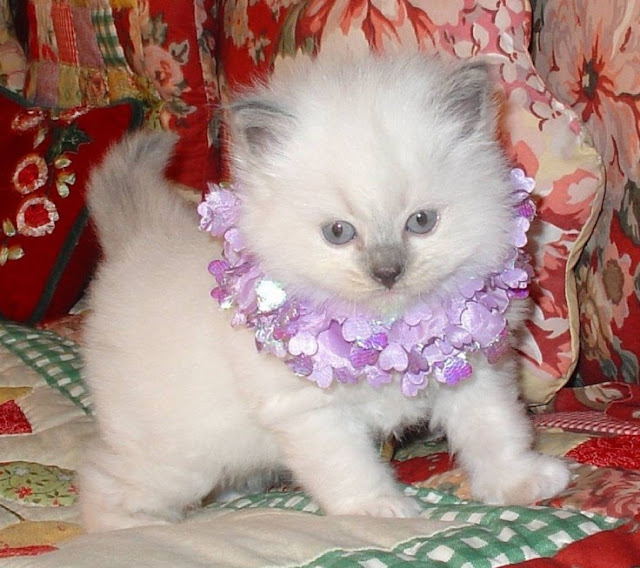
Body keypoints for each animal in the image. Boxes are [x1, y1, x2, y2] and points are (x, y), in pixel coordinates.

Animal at [76, 55, 568, 532]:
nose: (387, 272)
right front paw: (379, 510)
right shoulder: (310, 411)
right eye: (338, 232)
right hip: (176, 457)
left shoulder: (475, 372)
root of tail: (139, 241)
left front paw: (521, 481)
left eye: (421, 222)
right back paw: (136, 526)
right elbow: (350, 469)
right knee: (102, 481)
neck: (385, 333)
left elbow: (496, 431)